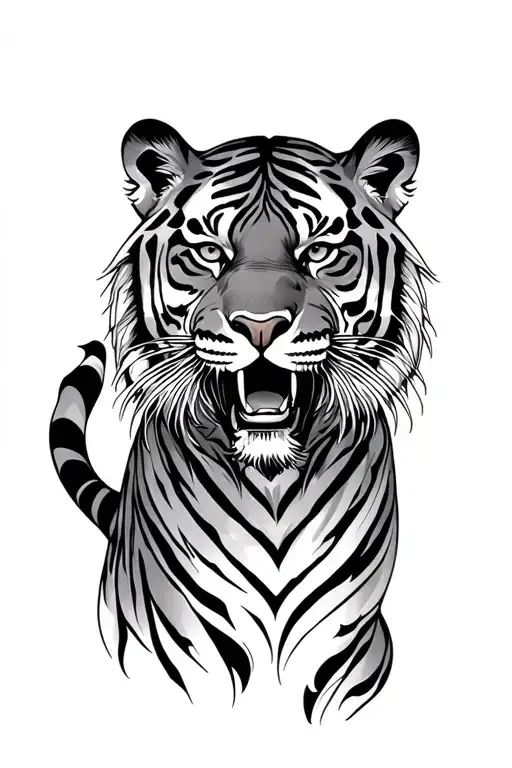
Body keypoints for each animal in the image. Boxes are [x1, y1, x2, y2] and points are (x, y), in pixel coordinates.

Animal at [49, 118, 434, 724]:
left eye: (320, 251)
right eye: (208, 251)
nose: (259, 325)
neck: (272, 483)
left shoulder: (344, 645)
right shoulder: (183, 637)